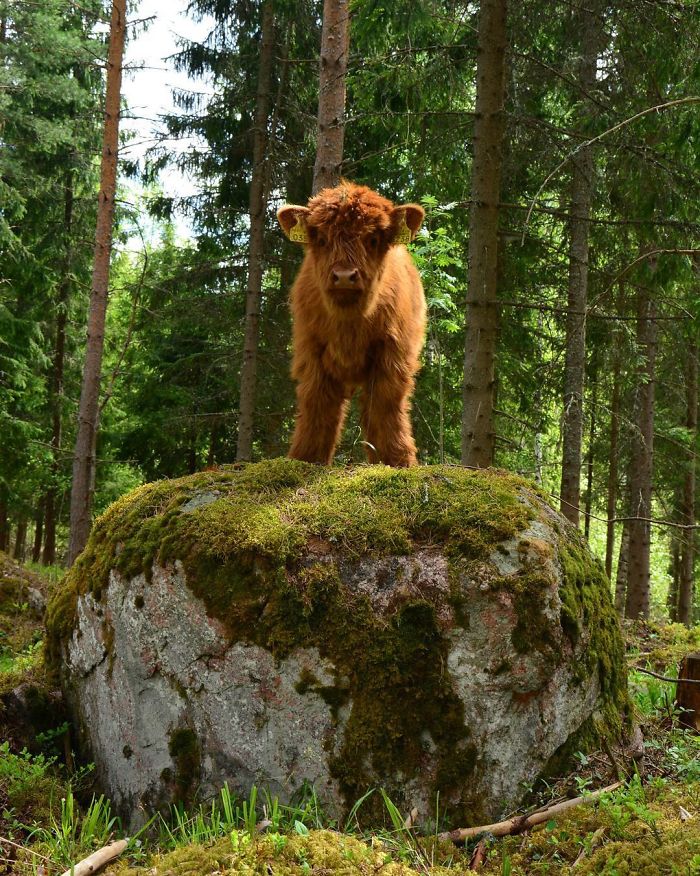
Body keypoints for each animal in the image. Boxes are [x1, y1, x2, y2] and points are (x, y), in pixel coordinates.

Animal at [276, 178, 424, 466]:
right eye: (322, 239)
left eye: (373, 239)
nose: (344, 276)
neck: (349, 323)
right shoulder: (311, 351)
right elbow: (317, 403)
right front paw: (307, 457)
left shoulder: (393, 356)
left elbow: (386, 406)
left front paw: (397, 460)